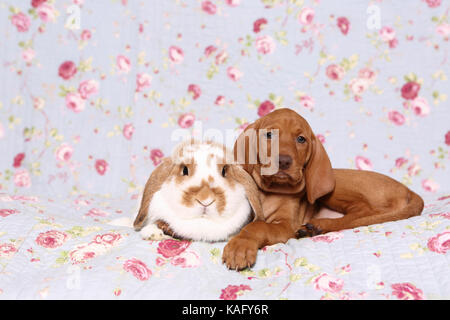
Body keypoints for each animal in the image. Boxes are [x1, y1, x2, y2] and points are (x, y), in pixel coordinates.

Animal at [223, 108, 424, 270]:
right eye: (269, 135)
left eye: (301, 139)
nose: (284, 161)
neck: (271, 191)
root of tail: (408, 190)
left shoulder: (286, 225)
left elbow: (259, 226)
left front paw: (240, 246)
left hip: (335, 186)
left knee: (363, 213)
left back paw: (319, 226)